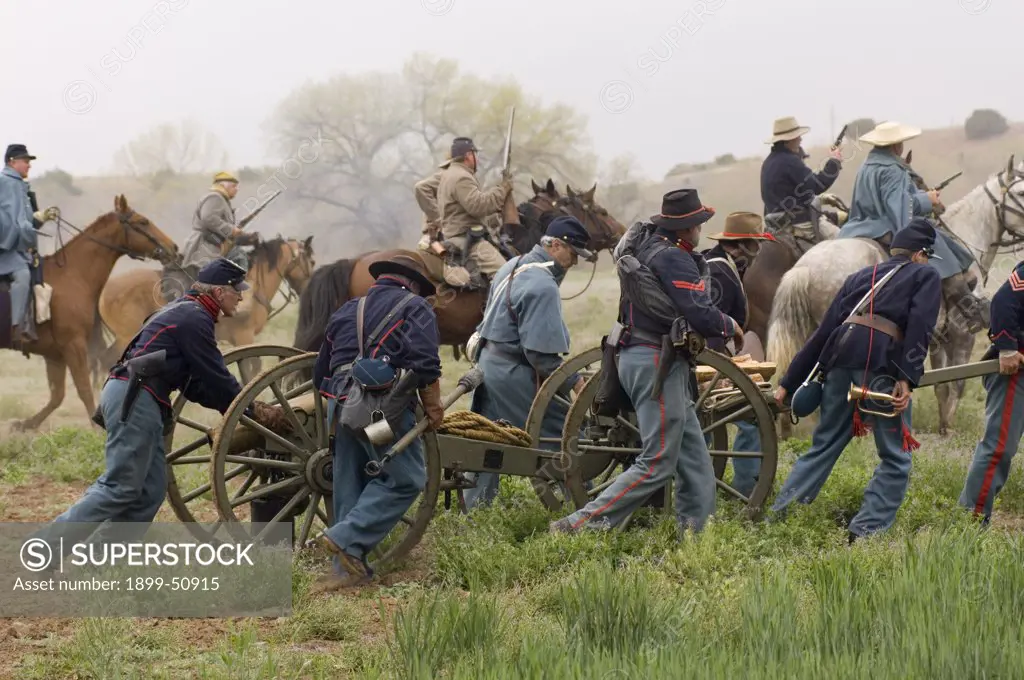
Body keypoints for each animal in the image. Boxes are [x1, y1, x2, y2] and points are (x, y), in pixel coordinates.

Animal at [2, 193, 177, 430]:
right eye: (142, 221)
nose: (173, 247)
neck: (72, 275)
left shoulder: (54, 354)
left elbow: (57, 395)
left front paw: (26, 424)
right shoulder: (73, 345)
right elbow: (84, 389)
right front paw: (96, 429)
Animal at [91, 233, 315, 385]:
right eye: (311, 260)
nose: (309, 288)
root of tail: (104, 290)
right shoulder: (244, 336)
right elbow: (252, 367)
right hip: (125, 336)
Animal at [770, 155, 1024, 436]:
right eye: (1021, 193)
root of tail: (803, 267)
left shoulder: (936, 339)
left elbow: (942, 385)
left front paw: (942, 425)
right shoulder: (961, 335)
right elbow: (957, 383)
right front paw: (948, 427)